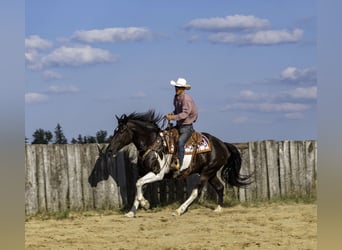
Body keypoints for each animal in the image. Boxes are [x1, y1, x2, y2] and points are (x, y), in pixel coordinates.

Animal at [105, 109, 250, 217]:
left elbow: (138, 183)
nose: (109, 150)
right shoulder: (145, 173)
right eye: (115, 130)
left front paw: (145, 204)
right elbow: (138, 186)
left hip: (206, 172)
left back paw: (179, 210)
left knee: (196, 191)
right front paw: (131, 212)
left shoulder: (157, 174)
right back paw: (218, 209)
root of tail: (223, 144)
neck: (153, 144)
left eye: (121, 131)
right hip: (211, 172)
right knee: (220, 187)